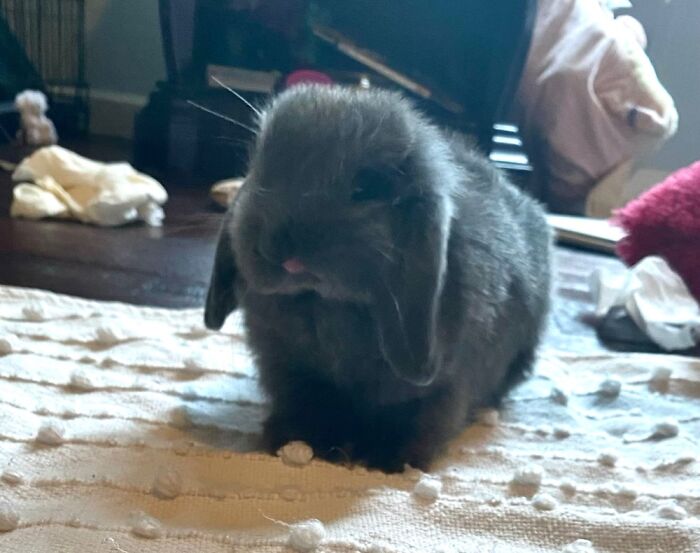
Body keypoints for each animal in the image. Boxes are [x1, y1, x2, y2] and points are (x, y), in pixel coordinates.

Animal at [204, 85, 552, 472]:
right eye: (259, 167)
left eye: (367, 186)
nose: (280, 250)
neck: (324, 304)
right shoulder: (291, 369)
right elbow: (304, 402)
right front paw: (298, 441)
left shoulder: (444, 386)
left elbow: (417, 416)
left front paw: (386, 459)